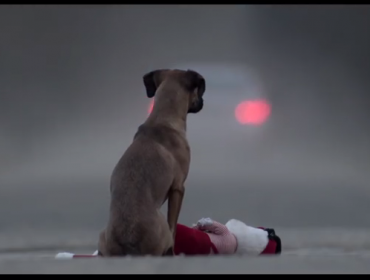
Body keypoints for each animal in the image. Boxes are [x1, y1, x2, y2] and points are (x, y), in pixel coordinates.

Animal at [98, 68, 205, 256]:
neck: (162, 119)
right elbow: (174, 226)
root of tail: (129, 243)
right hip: (162, 222)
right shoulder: (178, 188)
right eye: (197, 91)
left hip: (101, 234)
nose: (203, 103)